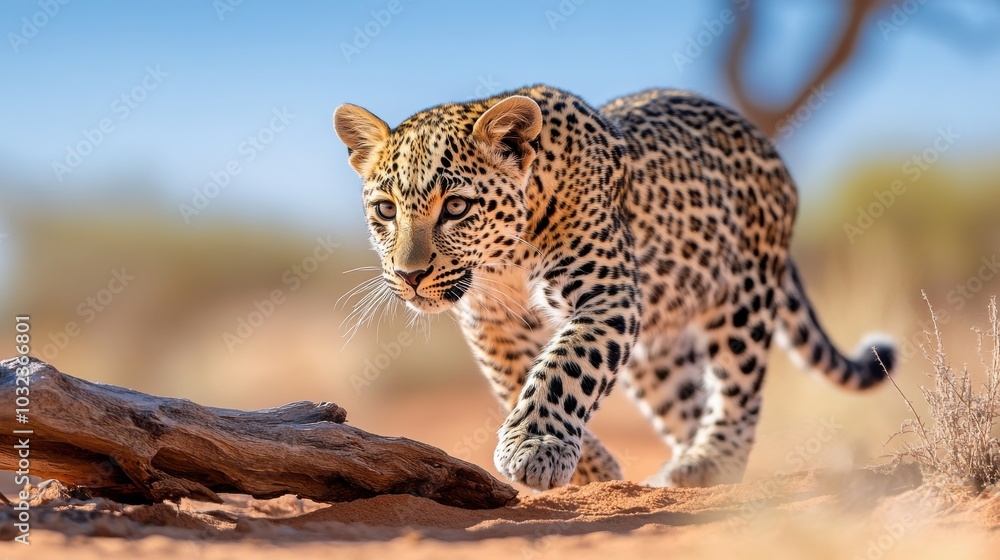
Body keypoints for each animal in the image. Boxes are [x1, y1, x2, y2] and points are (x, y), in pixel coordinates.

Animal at [333, 84, 896, 490]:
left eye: (455, 207)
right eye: (385, 209)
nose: (409, 275)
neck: (505, 261)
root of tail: (766, 144)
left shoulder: (607, 297)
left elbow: (564, 367)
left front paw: (536, 449)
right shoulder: (491, 323)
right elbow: (515, 377)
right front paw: (591, 468)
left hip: (743, 297)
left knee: (738, 388)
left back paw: (710, 462)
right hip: (660, 353)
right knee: (688, 400)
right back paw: (685, 469)